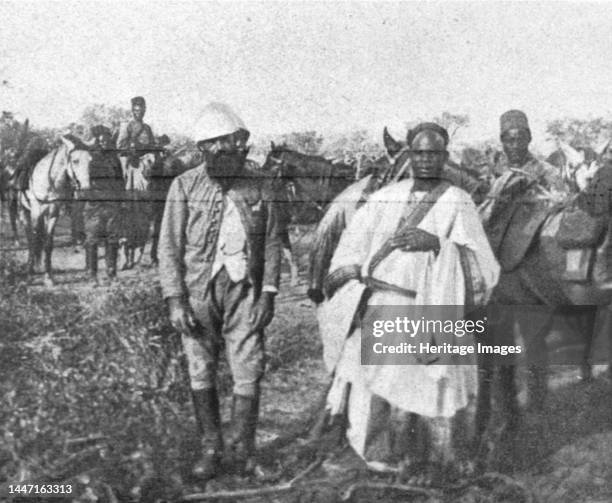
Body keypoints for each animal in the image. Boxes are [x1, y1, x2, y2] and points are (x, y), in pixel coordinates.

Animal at [17, 136, 94, 288]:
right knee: (30, 239)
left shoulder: (53, 214)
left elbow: (48, 243)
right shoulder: (36, 213)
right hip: (24, 213)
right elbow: (35, 241)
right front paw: (30, 275)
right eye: (75, 160)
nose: (86, 189)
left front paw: (48, 277)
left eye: (90, 160)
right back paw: (30, 266)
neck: (48, 182)